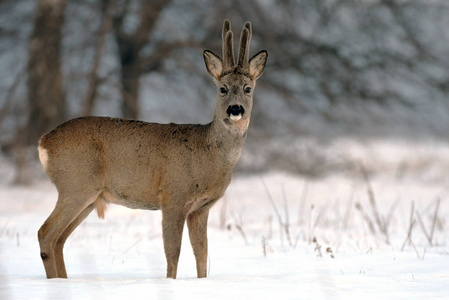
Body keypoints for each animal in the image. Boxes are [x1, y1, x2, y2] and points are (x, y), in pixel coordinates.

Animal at [37, 19, 266, 280]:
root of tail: (44, 141)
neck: (210, 154)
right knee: (45, 232)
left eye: (248, 88)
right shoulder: (173, 196)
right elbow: (173, 251)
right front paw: (170, 283)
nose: (235, 109)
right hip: (75, 185)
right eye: (223, 88)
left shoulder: (201, 208)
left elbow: (202, 253)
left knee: (59, 239)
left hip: (89, 196)